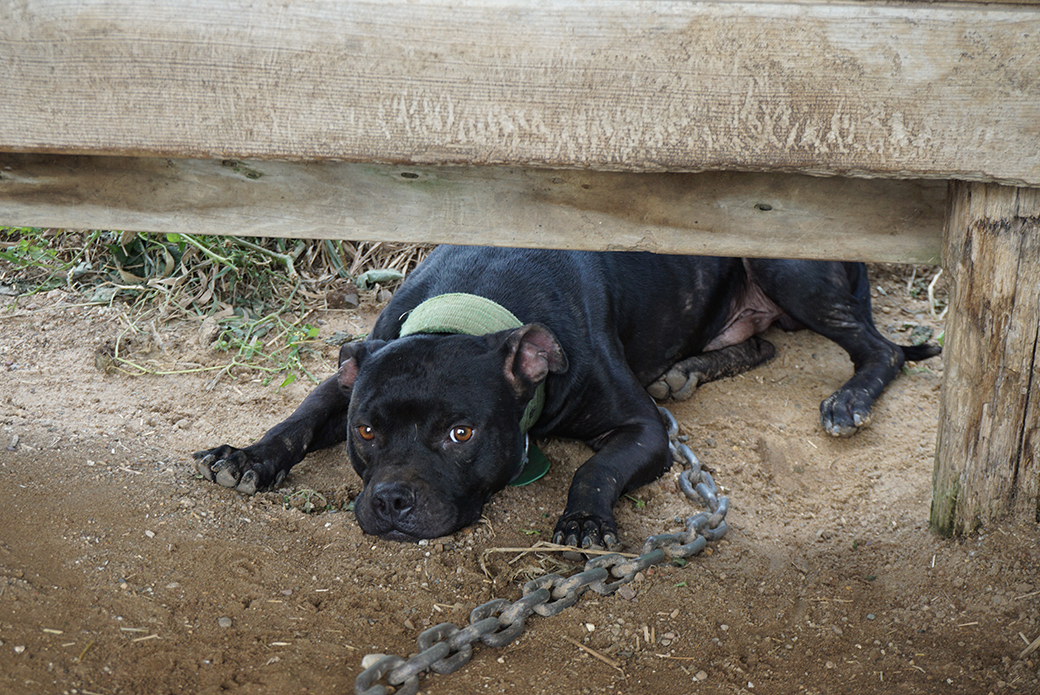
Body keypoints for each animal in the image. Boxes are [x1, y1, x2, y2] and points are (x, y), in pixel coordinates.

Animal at [191, 248, 940, 549]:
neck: (471, 307)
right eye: (367, 433)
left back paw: (849, 400)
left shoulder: (642, 427)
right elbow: (299, 416)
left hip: (790, 268)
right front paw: (248, 456)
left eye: (461, 434)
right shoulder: (354, 368)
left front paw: (583, 520)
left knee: (881, 348)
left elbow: (596, 468)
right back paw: (689, 369)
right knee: (762, 345)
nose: (393, 501)